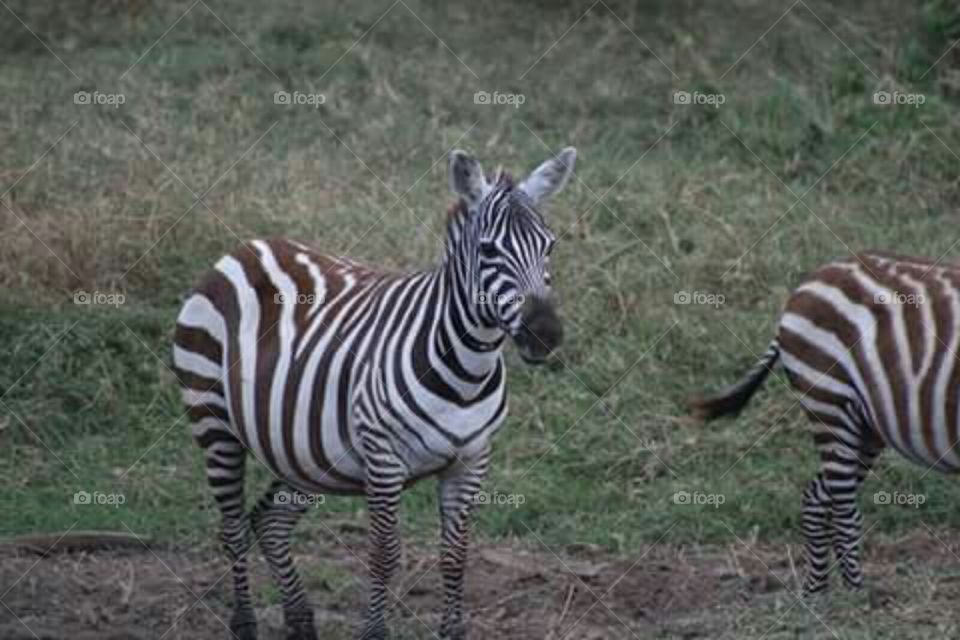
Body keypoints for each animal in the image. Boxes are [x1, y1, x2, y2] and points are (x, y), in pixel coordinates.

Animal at [172, 146, 576, 640]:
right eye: (488, 250)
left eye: (549, 247)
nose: (545, 335)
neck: (466, 372)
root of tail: (247, 248)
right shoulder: (384, 460)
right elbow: (384, 557)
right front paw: (374, 631)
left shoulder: (471, 460)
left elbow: (455, 557)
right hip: (214, 421)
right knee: (232, 528)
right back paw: (245, 623)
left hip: (303, 449)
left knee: (269, 522)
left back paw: (300, 620)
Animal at [690, 251, 960, 595]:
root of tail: (814, 278)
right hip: (830, 401)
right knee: (844, 510)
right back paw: (855, 596)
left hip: (864, 426)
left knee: (818, 498)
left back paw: (817, 591)